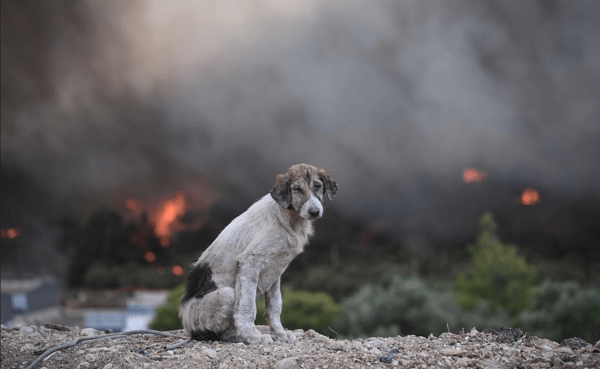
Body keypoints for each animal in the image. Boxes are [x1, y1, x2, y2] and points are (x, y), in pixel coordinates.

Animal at [178, 162, 338, 344]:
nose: (314, 212)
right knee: (217, 333)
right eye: (297, 189)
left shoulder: (276, 270)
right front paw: (253, 336)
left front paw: (280, 334)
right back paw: (239, 336)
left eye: (317, 186)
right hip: (227, 295)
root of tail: (188, 326)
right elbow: (247, 307)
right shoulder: (249, 262)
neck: (288, 218)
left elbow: (275, 305)